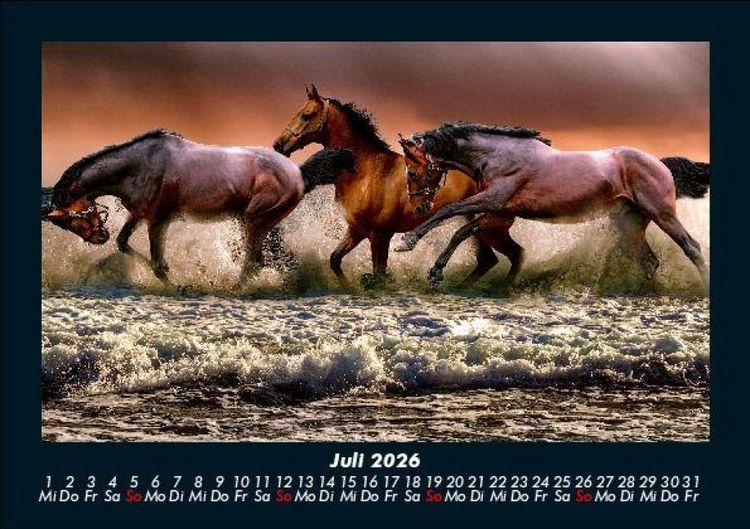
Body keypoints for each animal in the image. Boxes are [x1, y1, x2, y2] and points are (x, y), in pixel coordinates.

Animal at [48, 128, 355, 285]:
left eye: (72, 218)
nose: (99, 237)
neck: (140, 165)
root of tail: (299, 174)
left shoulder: (159, 220)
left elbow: (158, 264)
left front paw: (179, 286)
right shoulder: (139, 214)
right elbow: (123, 243)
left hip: (253, 222)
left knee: (253, 261)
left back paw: (233, 289)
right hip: (259, 224)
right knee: (261, 260)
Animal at [273, 84, 501, 288]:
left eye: (306, 115)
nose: (278, 145)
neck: (367, 173)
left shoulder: (380, 236)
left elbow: (378, 275)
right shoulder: (356, 231)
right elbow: (335, 259)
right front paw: (349, 287)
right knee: (487, 260)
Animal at [395, 121, 710, 289]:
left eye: (411, 172)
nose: (418, 207)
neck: (497, 155)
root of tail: (660, 163)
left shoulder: (495, 200)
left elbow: (449, 212)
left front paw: (407, 241)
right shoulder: (499, 212)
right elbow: (462, 231)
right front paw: (435, 272)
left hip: (661, 214)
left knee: (691, 246)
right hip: (629, 223)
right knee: (650, 260)